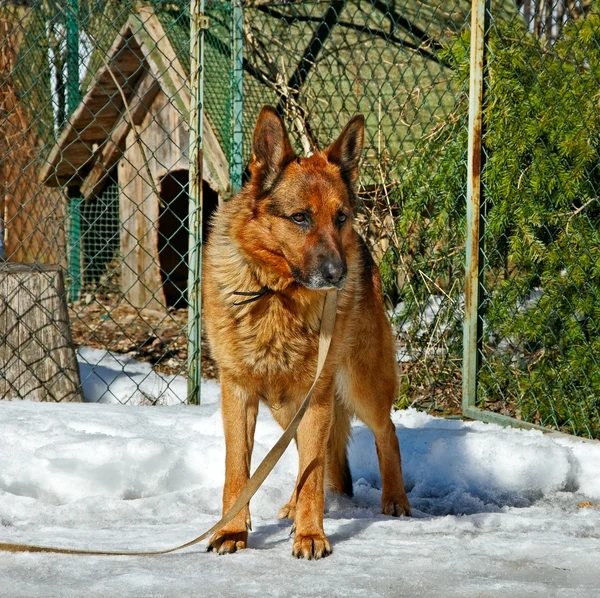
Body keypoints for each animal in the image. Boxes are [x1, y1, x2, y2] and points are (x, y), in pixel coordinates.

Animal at [204, 106, 410, 564]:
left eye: (340, 218)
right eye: (300, 217)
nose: (339, 275)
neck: (275, 293)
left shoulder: (314, 398)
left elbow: (313, 474)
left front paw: (311, 535)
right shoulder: (238, 393)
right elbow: (236, 469)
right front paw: (232, 529)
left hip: (359, 386)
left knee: (386, 433)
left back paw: (395, 499)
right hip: (288, 408)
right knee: (310, 457)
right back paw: (291, 507)